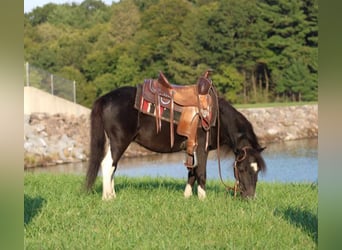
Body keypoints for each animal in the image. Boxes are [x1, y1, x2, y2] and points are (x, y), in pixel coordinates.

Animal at [85, 82, 268, 201]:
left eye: (257, 170)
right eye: (242, 169)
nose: (250, 197)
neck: (216, 117)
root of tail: (105, 99)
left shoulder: (192, 148)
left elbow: (192, 173)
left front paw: (187, 197)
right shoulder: (202, 148)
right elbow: (201, 172)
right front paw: (203, 199)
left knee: (112, 166)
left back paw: (112, 194)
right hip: (119, 141)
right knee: (108, 164)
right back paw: (108, 198)